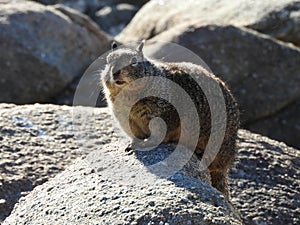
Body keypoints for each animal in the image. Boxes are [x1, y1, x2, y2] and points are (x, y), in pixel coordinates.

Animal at [102, 40, 240, 199]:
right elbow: (136, 134)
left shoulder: (166, 114)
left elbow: (160, 135)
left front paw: (145, 144)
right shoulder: (127, 119)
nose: (115, 72)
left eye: (134, 61)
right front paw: (132, 143)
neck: (128, 95)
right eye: (108, 60)